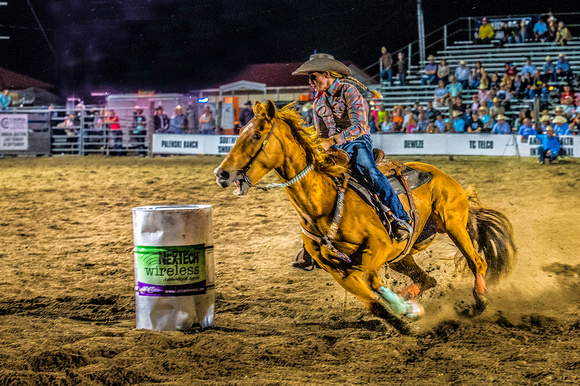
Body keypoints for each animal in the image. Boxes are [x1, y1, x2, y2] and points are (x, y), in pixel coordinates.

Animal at [214, 101, 516, 334]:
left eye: (256, 136)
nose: (221, 173)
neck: (323, 205)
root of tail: (445, 177)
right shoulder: (337, 270)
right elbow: (373, 303)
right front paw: (404, 317)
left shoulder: (377, 247)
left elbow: (372, 282)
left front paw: (405, 311)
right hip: (402, 256)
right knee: (427, 280)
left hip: (453, 225)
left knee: (476, 262)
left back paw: (478, 302)